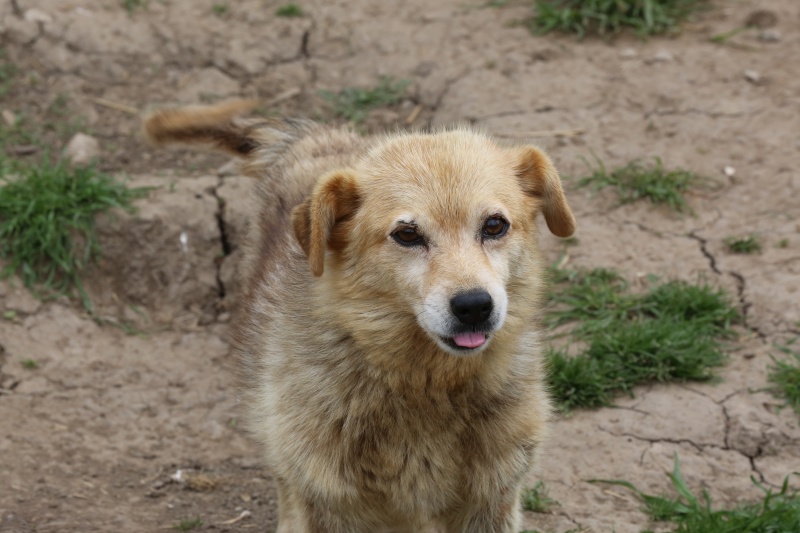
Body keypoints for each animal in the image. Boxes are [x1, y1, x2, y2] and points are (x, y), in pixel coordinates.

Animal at [144, 101, 580, 532]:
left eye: (494, 225)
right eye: (407, 234)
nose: (474, 306)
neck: (424, 386)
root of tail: (319, 138)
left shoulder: (492, 499)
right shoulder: (327, 501)